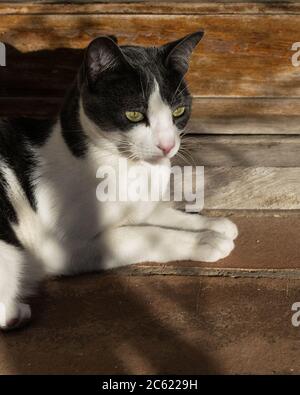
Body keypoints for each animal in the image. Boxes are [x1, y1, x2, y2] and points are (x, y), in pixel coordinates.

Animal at [0, 32, 239, 332]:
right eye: (134, 115)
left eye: (178, 111)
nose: (167, 145)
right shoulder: (58, 246)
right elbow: (138, 235)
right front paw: (205, 241)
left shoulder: (141, 207)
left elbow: (160, 215)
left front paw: (212, 224)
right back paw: (16, 312)